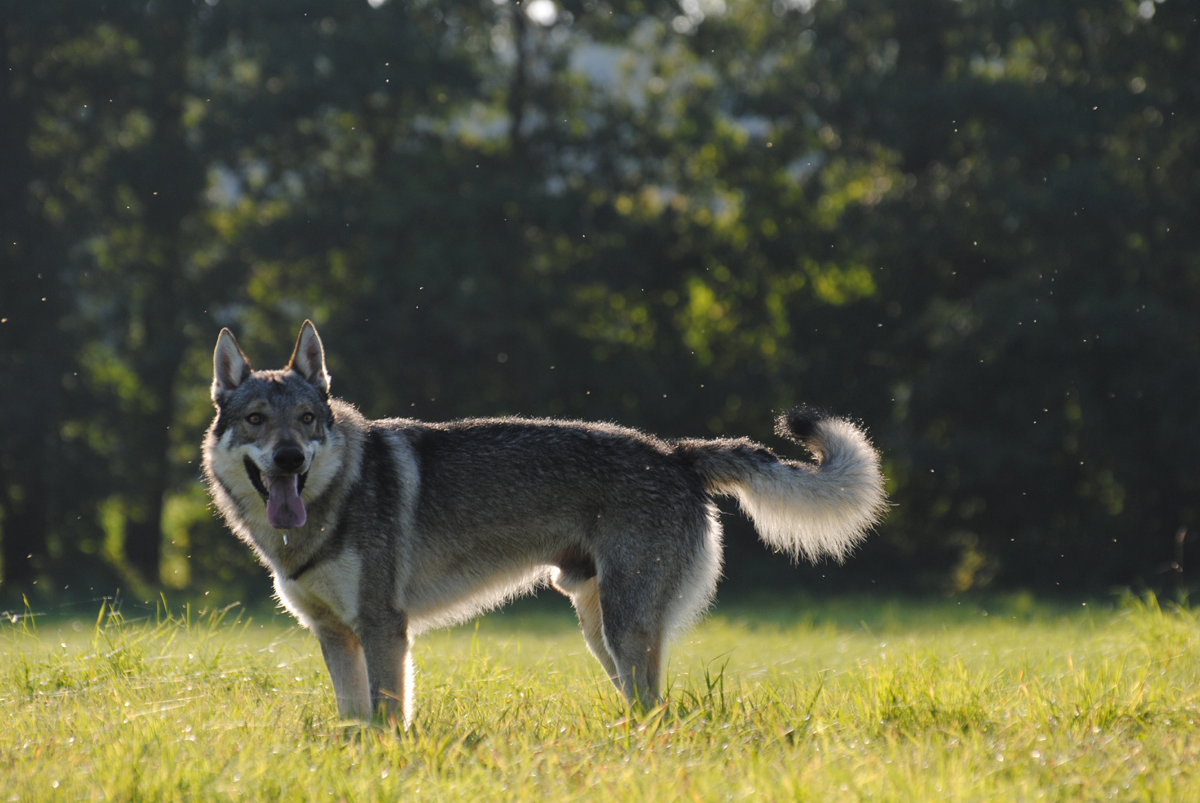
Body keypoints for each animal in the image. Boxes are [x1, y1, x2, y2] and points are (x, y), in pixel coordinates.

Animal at [201, 321, 888, 724]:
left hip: (622, 631)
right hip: (599, 630)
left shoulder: (383, 629)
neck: (324, 512)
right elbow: (355, 723)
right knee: (654, 706)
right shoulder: (333, 635)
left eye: (307, 421)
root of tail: (675, 453)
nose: (289, 458)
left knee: (657, 709)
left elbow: (389, 720)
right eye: (257, 420)